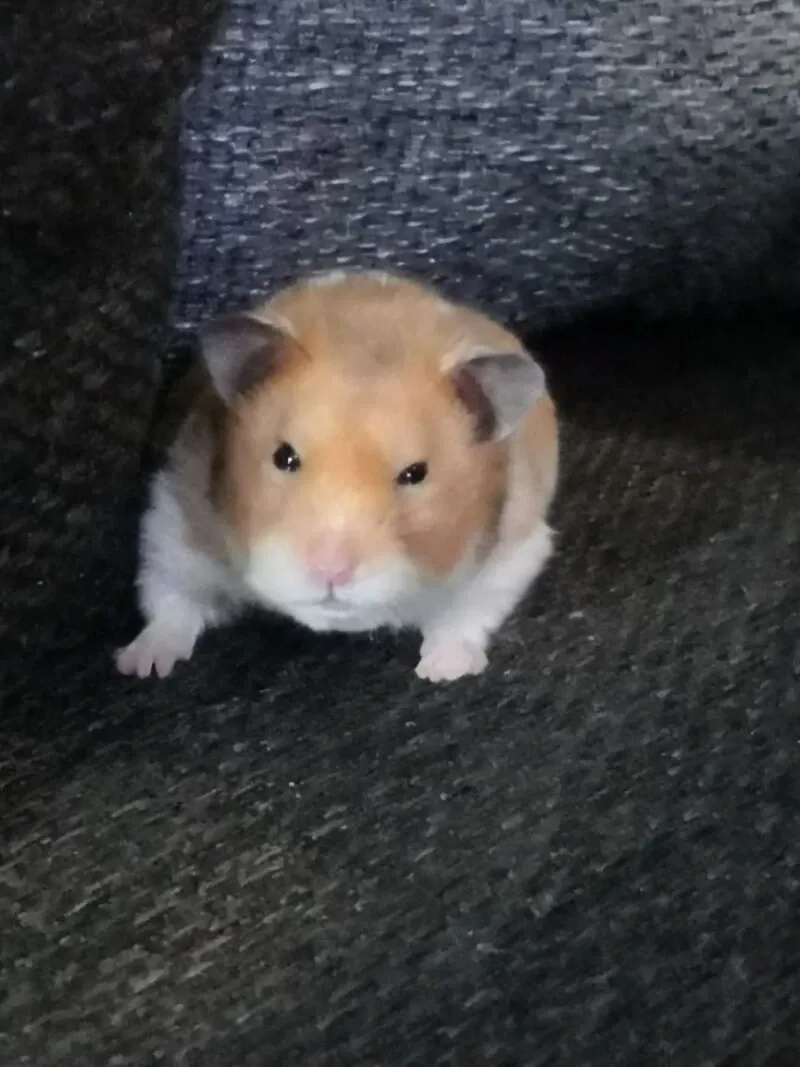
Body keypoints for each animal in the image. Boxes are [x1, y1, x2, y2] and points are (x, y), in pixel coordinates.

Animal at [116, 270, 558, 683]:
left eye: (415, 474)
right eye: (284, 457)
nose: (331, 572)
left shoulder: (513, 549)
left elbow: (468, 611)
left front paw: (442, 672)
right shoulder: (175, 517)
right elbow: (171, 594)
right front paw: (141, 666)